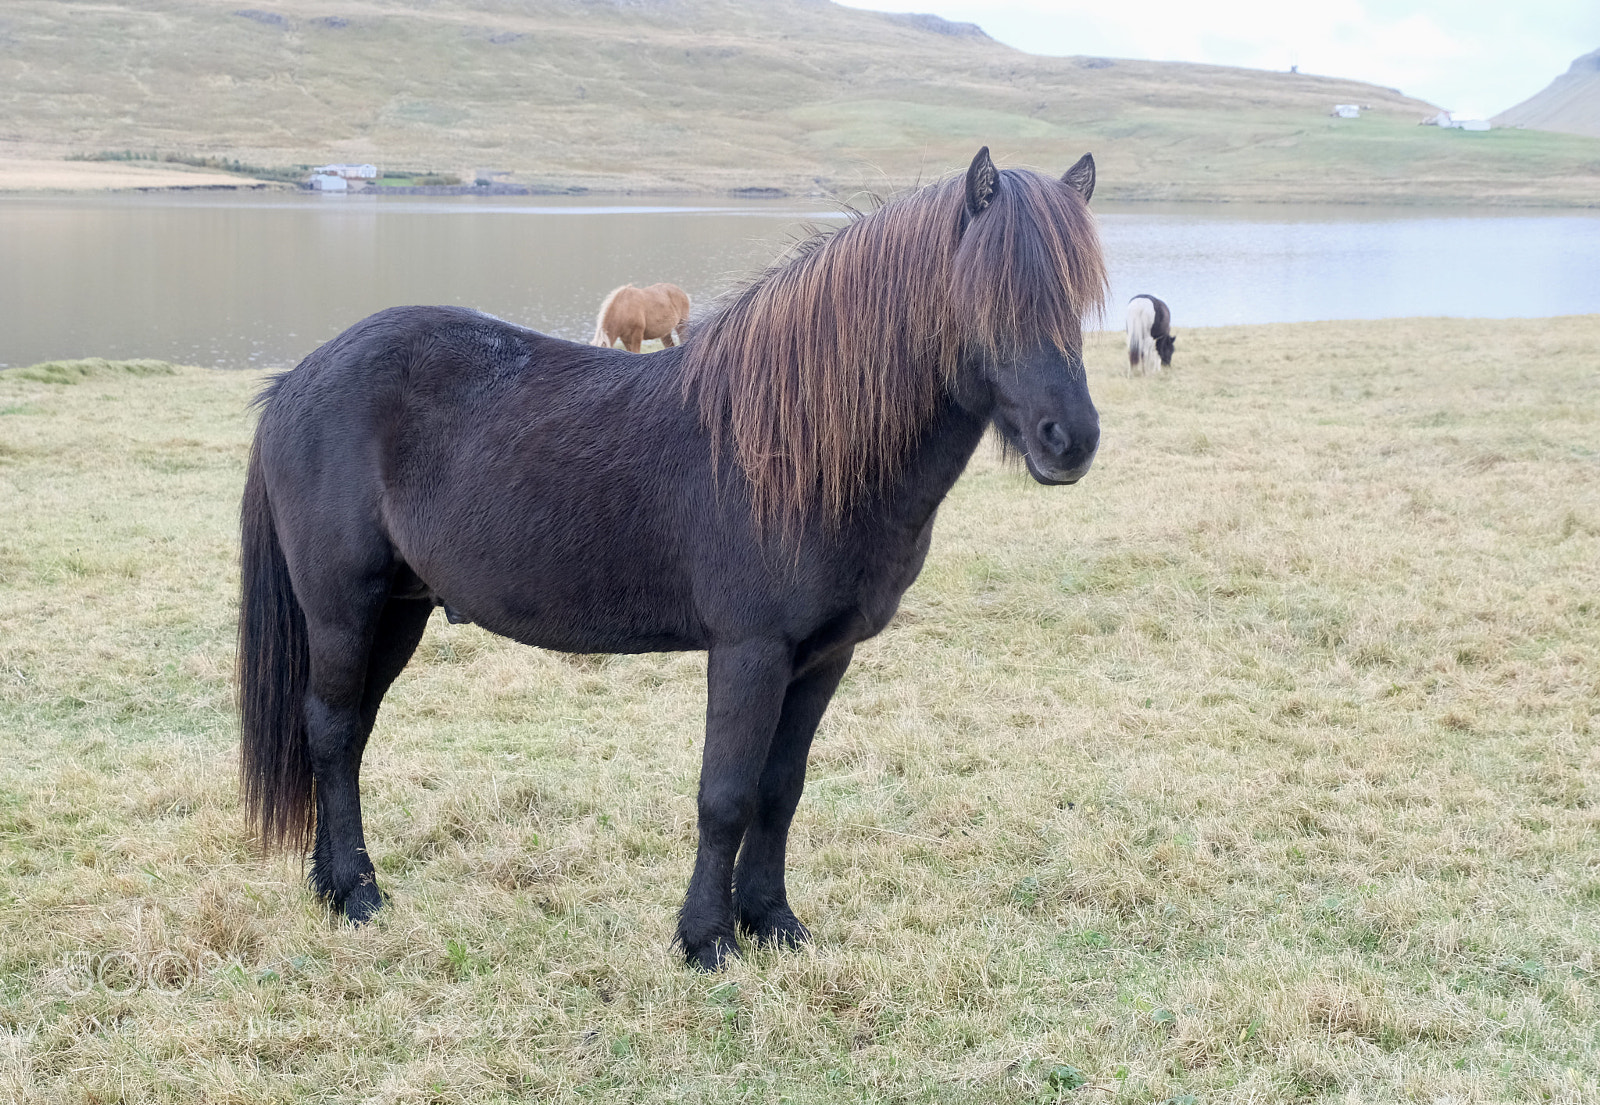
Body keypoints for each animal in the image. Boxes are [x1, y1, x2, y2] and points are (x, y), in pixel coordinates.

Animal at [238, 146, 1106, 970]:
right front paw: (707, 940)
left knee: (350, 732)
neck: (792, 449)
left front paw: (774, 921)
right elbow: (725, 794)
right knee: (331, 730)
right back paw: (355, 893)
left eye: (1075, 296)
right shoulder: (750, 650)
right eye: (988, 296)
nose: (1072, 440)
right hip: (343, 608)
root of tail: (297, 380)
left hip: (399, 611)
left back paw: (334, 882)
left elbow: (780, 789)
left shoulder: (824, 657)